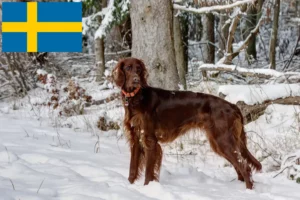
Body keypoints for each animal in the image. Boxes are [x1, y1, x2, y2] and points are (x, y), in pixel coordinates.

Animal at [111, 57, 262, 189]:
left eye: (138, 68)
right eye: (128, 68)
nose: (136, 80)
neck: (136, 98)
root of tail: (233, 106)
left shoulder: (150, 140)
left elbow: (149, 171)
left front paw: (148, 188)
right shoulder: (136, 139)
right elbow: (132, 168)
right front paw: (129, 186)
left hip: (223, 140)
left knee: (245, 167)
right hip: (219, 142)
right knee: (239, 167)